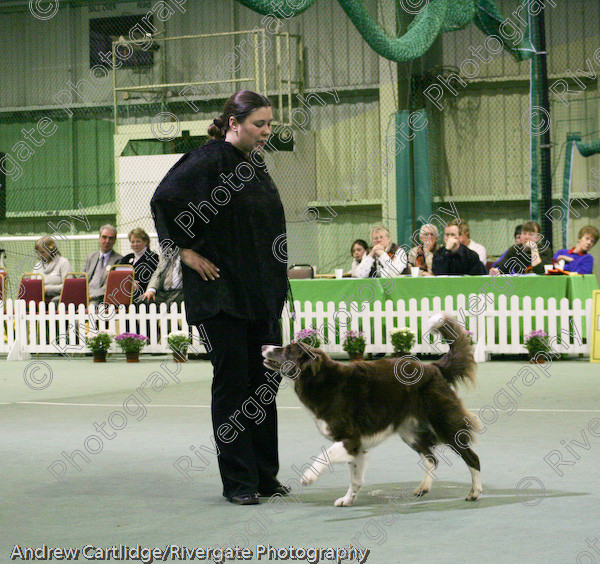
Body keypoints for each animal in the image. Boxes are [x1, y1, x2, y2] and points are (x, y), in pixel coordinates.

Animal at [262, 312, 482, 506]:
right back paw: (423, 487)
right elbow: (355, 479)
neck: (321, 380)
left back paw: (474, 492)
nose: (264, 345)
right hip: (409, 432)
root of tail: (434, 368)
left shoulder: (350, 438)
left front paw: (309, 476)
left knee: (472, 457)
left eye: (287, 349)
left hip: (444, 423)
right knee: (431, 459)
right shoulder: (357, 447)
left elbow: (325, 455)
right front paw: (348, 500)